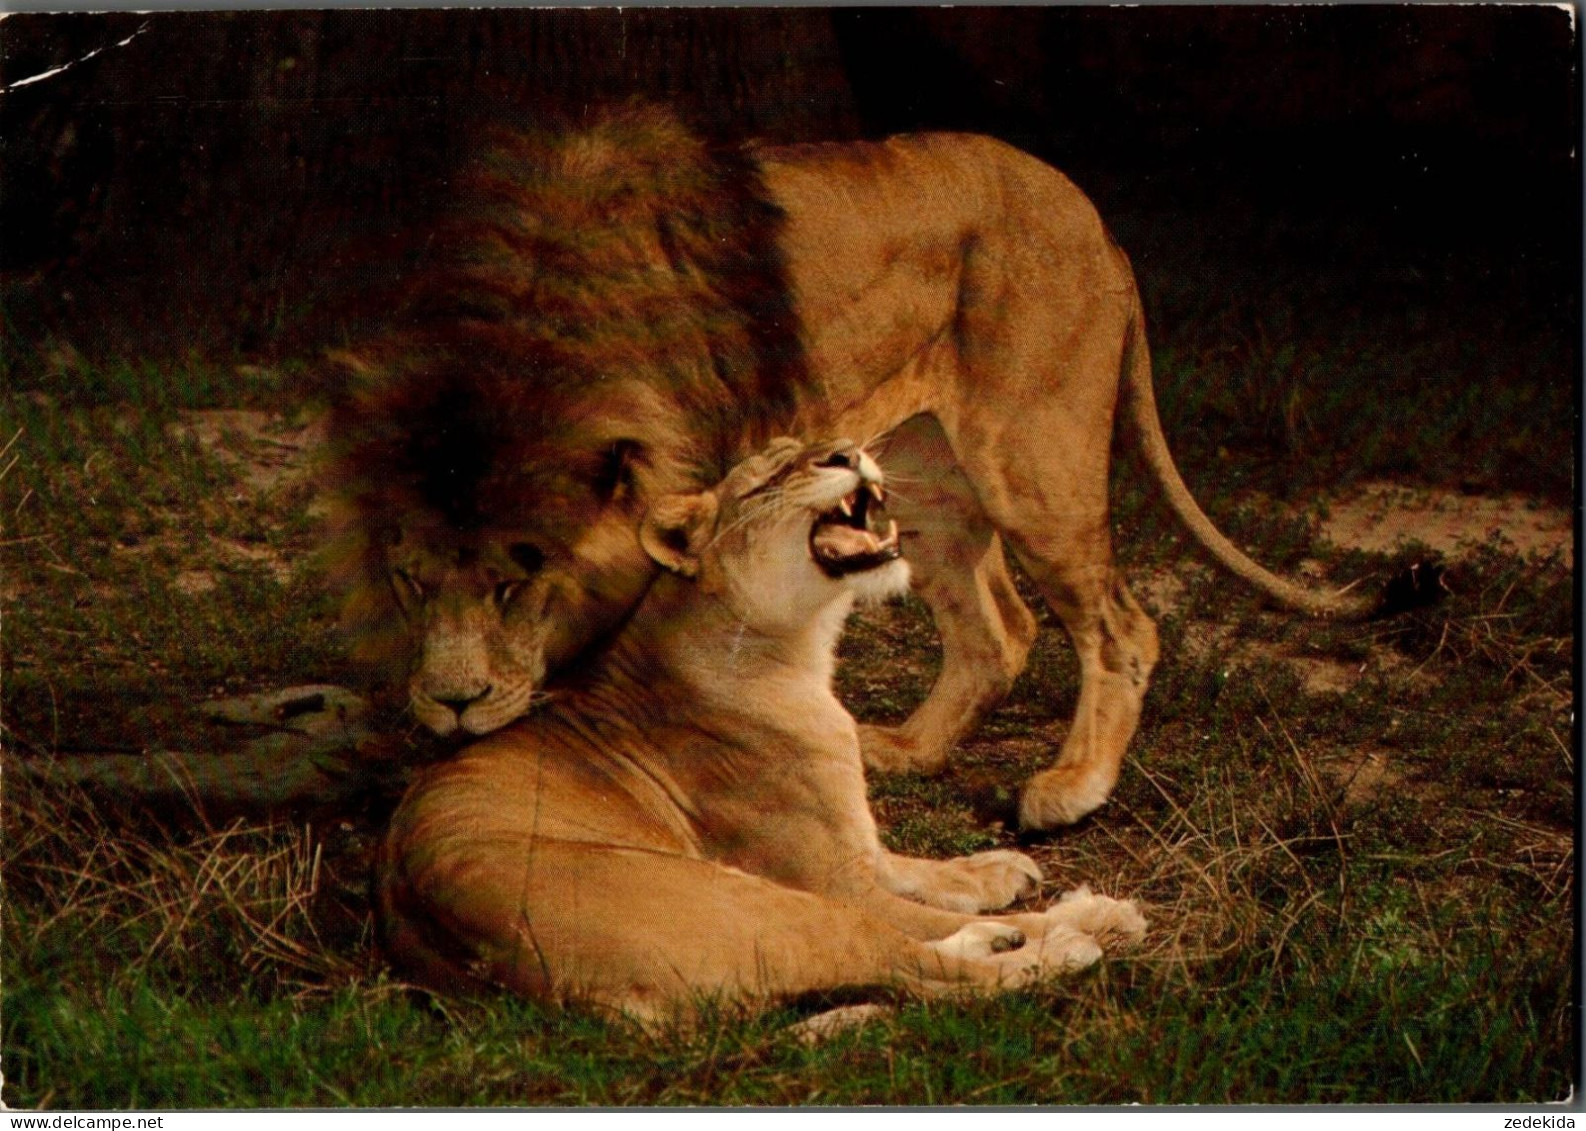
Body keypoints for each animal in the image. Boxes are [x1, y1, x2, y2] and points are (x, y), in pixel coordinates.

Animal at [331, 106, 1389, 831]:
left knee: (1123, 626)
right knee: (1000, 630)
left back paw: (1067, 789)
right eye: (410, 581)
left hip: (1033, 460)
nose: (451, 705)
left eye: (520, 583)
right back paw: (909, 750)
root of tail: (1097, 222)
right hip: (925, 474)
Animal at [374, 437, 1141, 1021]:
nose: (849, 451)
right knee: (920, 971)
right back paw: (1063, 945)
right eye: (771, 475)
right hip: (768, 904)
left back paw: (992, 934)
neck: (803, 648)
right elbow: (915, 911)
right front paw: (1080, 917)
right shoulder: (835, 881)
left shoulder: (851, 848)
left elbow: (918, 871)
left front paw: (994, 872)